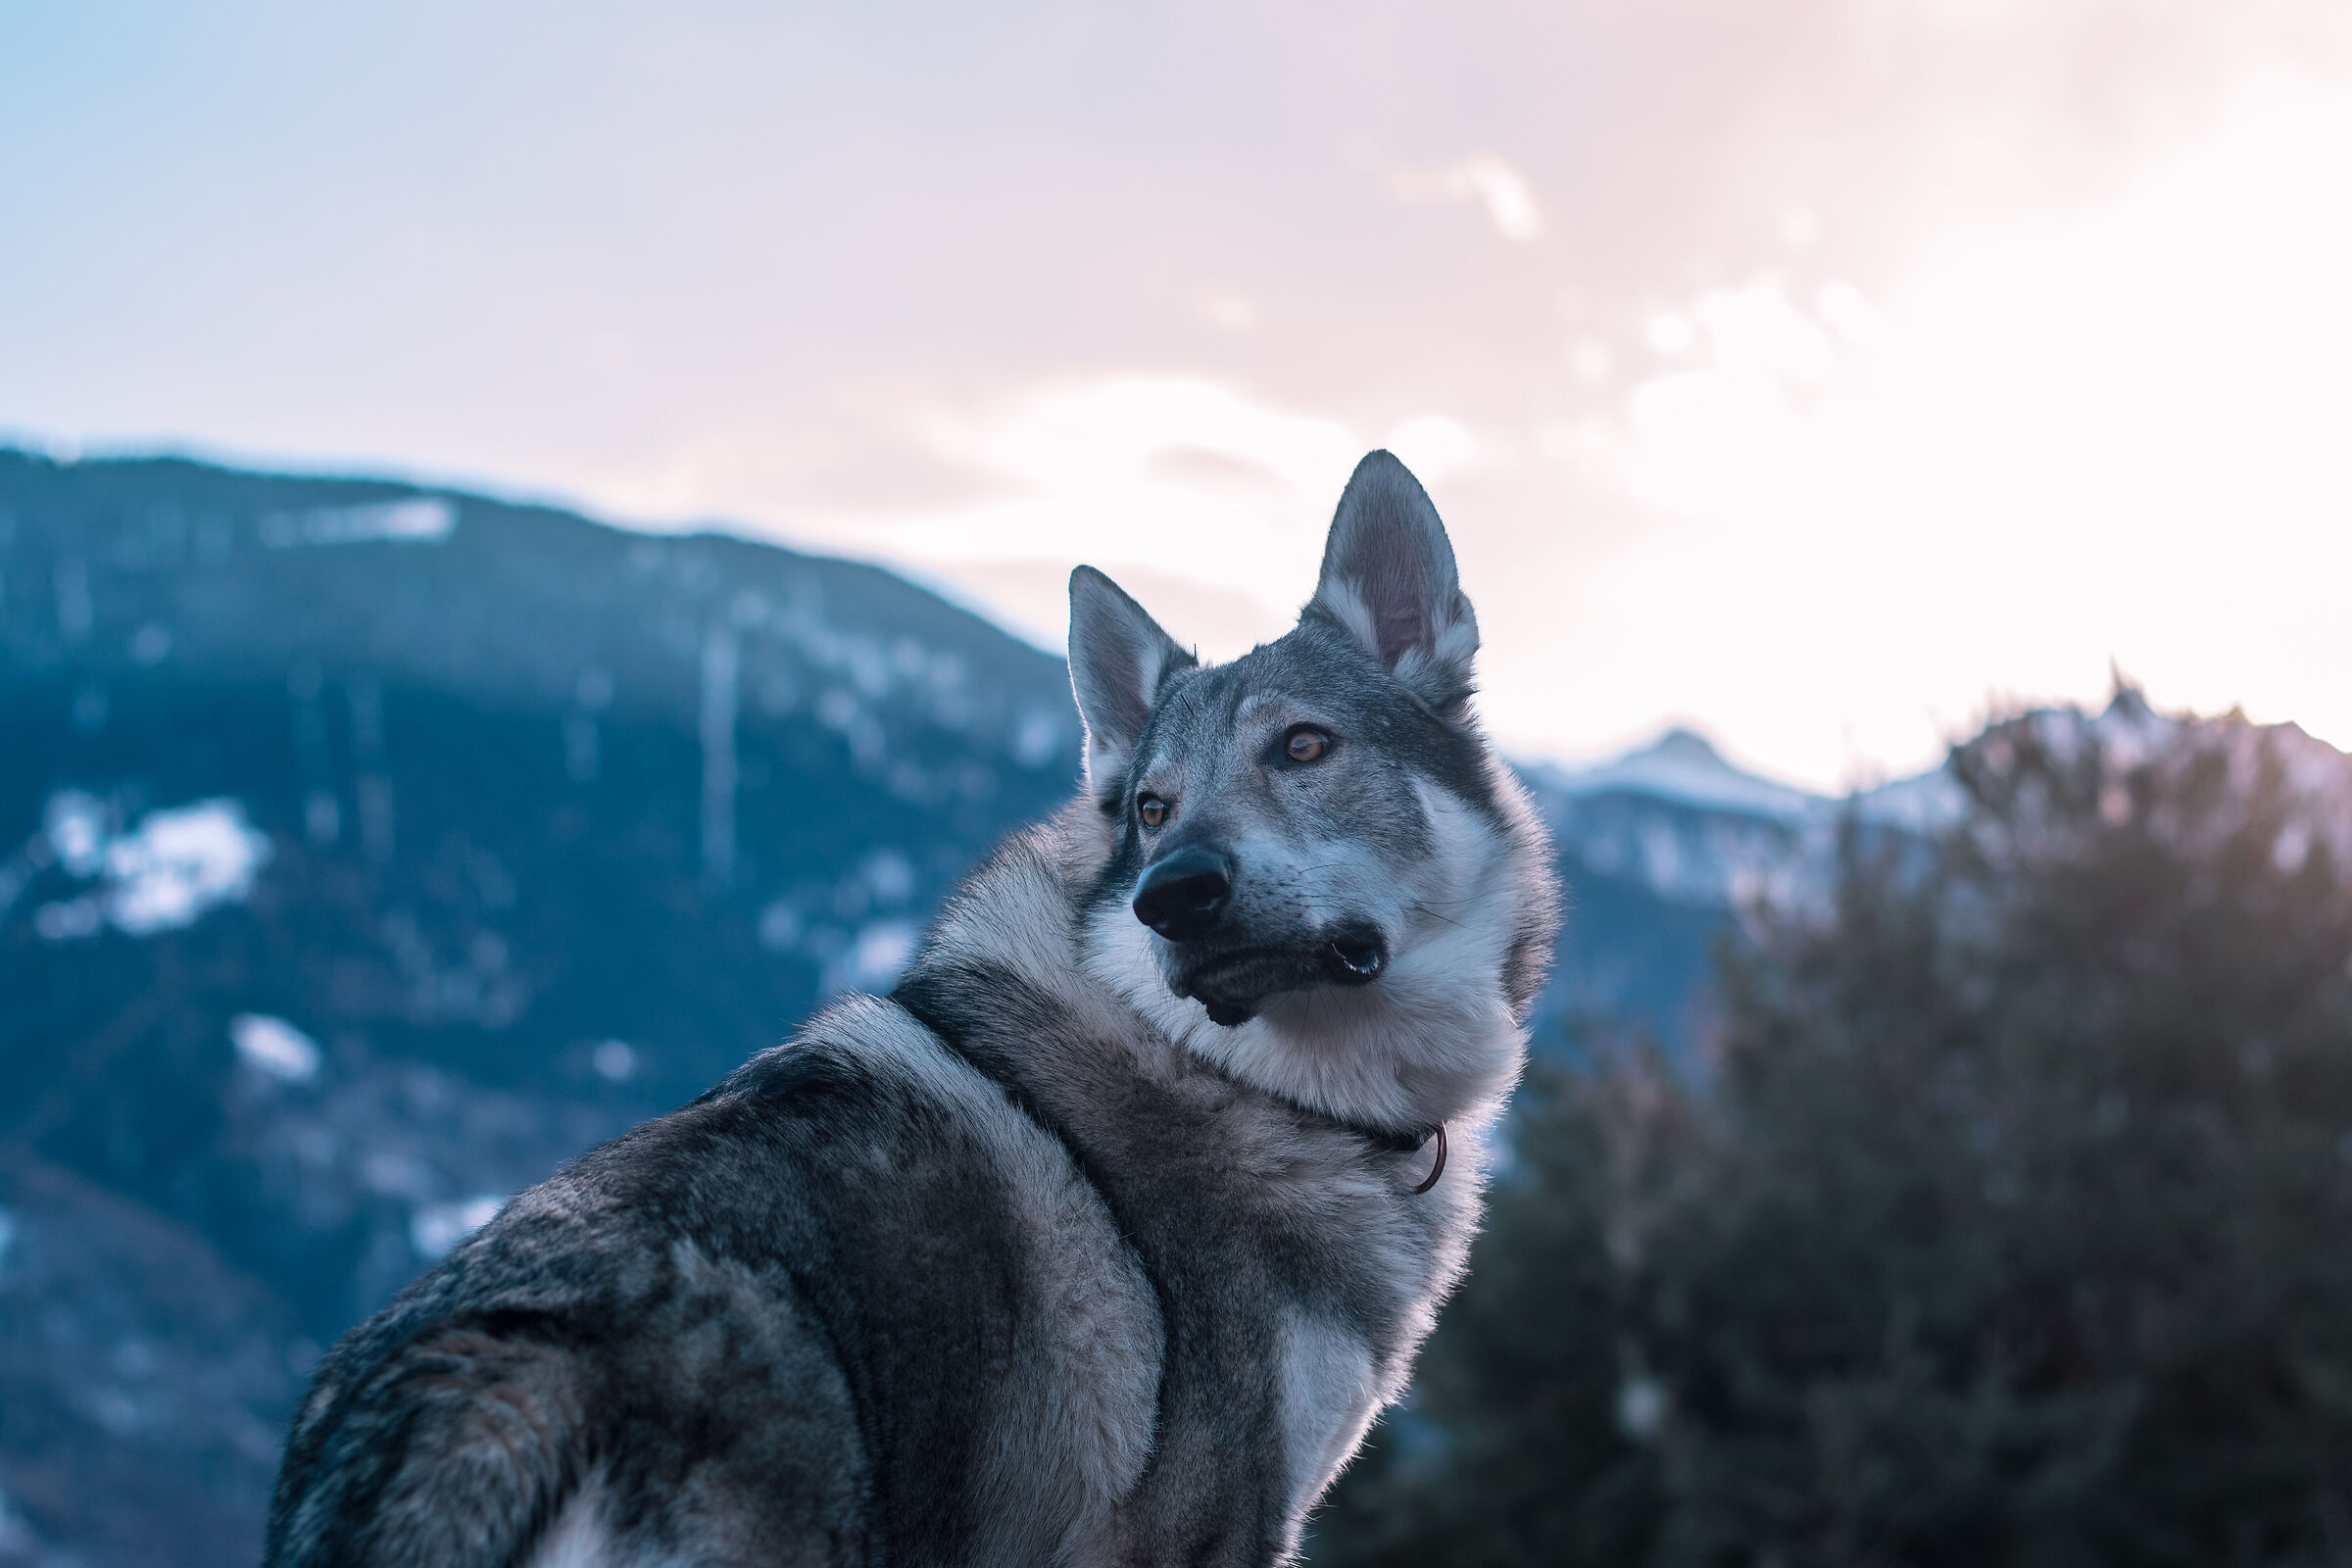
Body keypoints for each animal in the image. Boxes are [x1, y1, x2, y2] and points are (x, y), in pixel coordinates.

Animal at [265, 450, 1559, 1568]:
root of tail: (492, 1387)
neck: (1258, 1086)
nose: (1172, 894)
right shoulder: (1207, 1533)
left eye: (1303, 746)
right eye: (1151, 808)